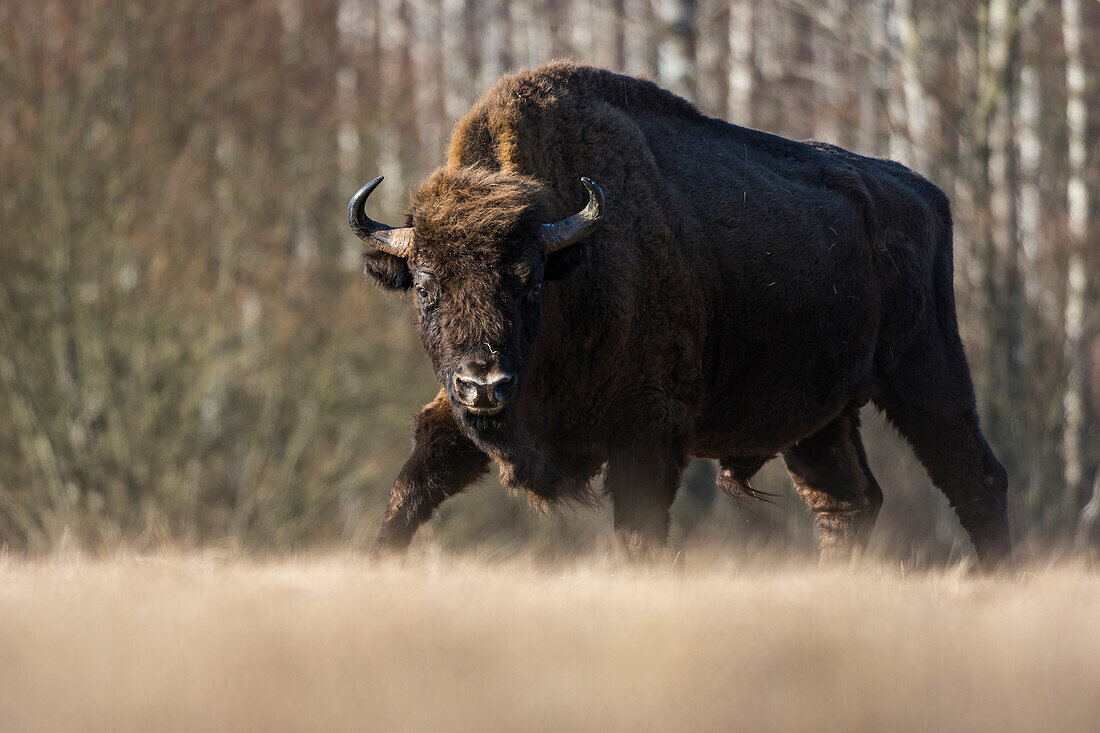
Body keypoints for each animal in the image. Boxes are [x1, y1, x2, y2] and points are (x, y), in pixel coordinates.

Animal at [347, 61, 1007, 563]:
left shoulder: (649, 431)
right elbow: (411, 488)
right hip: (819, 417)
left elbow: (640, 536)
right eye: (425, 287)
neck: (573, 263)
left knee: (976, 478)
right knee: (849, 501)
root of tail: (926, 195)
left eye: (529, 282)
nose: (484, 384)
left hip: (927, 376)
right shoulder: (455, 414)